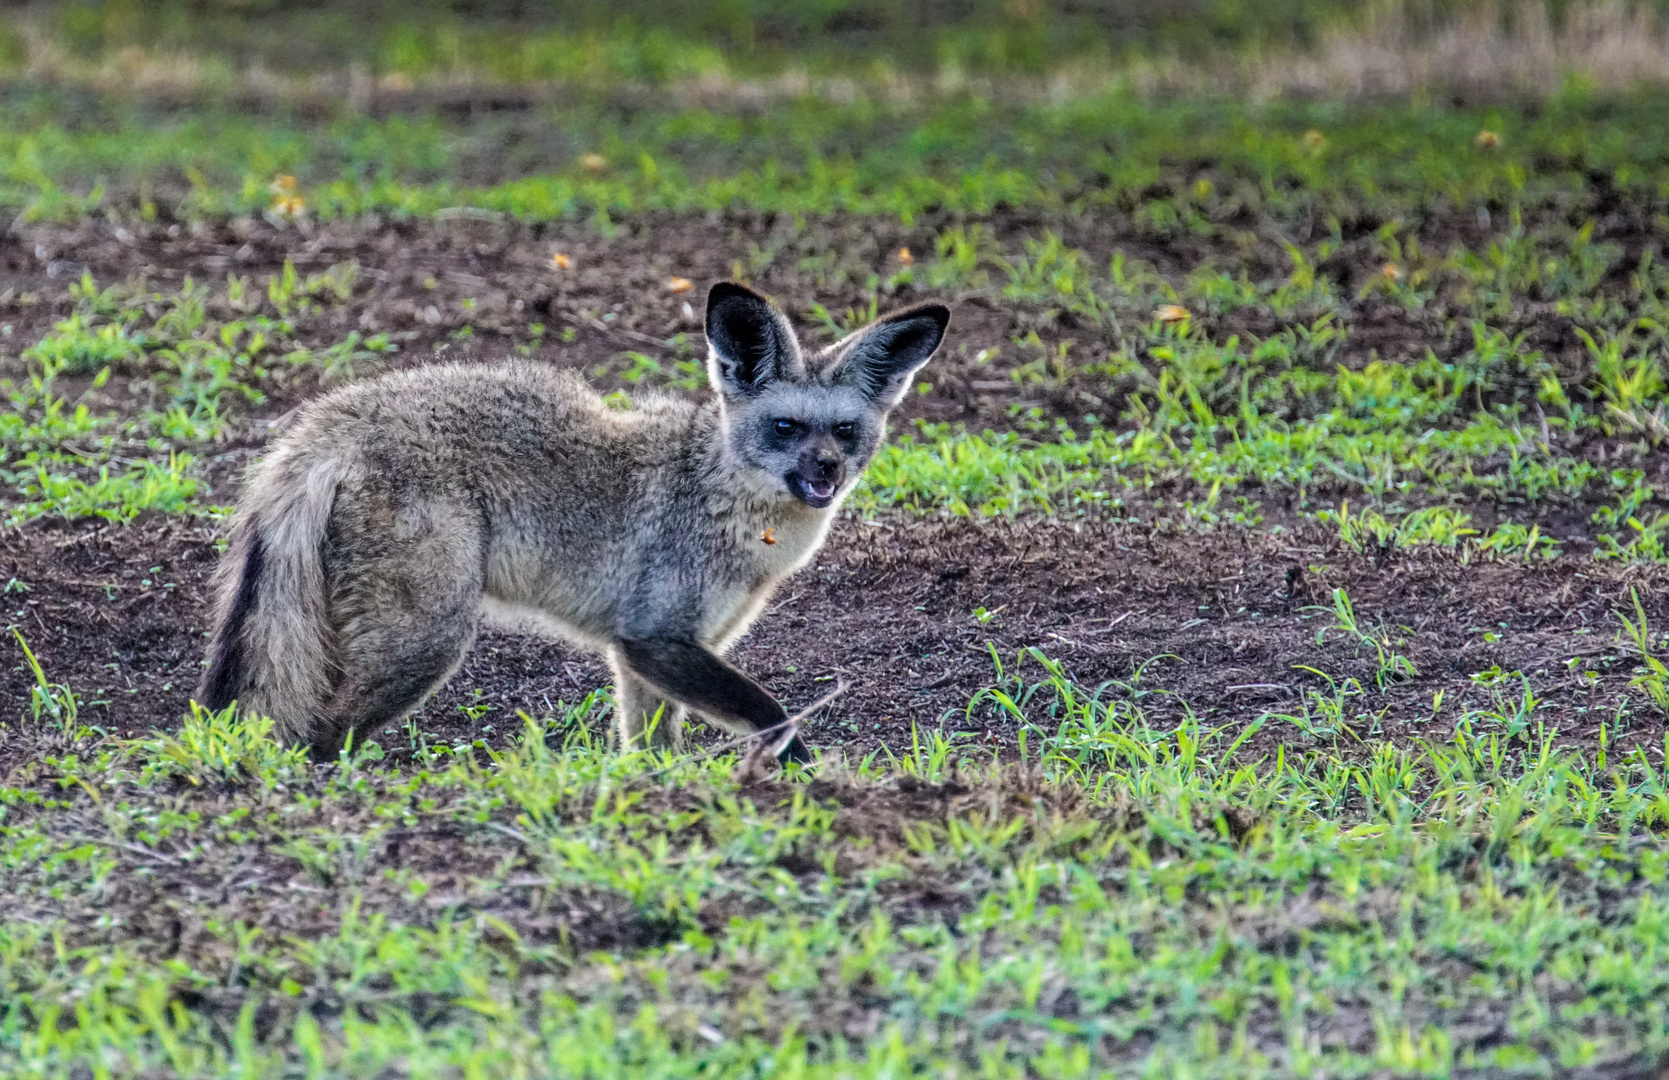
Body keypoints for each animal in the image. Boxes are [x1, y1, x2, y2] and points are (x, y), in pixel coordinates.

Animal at [191, 283, 954, 764]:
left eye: (845, 433)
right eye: (786, 427)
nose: (825, 472)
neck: (719, 496)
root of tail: (338, 417)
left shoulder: (648, 656)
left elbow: (649, 753)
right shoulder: (655, 638)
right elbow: (773, 716)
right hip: (425, 643)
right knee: (318, 739)